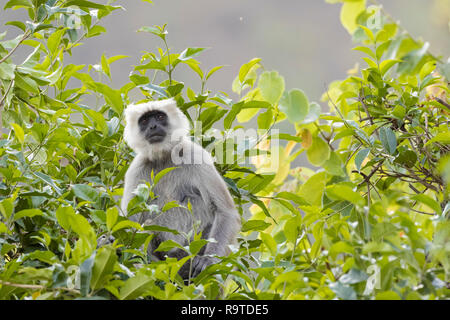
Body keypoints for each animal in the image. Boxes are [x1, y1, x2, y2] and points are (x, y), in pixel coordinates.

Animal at [121, 97, 241, 278]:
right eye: (144, 120)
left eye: (160, 116)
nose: (153, 126)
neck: (164, 157)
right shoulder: (136, 169)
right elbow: (131, 223)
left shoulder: (194, 154)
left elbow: (225, 211)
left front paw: (207, 260)